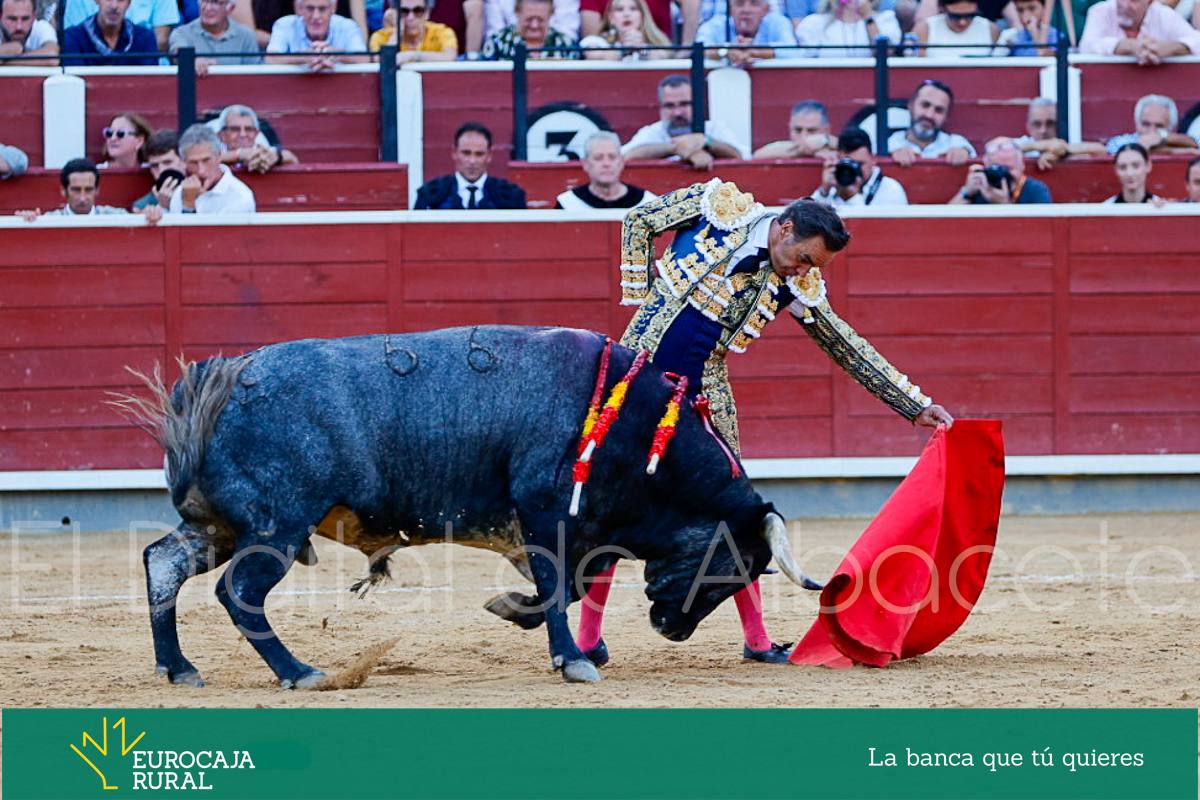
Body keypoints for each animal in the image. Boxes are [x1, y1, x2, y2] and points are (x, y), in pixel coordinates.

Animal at [124, 326, 817, 687]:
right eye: (734, 563)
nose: (673, 629)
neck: (640, 428)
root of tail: (219, 381)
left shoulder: (570, 529)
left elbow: (561, 589)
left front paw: (516, 612)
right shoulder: (547, 511)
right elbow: (558, 586)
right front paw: (573, 662)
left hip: (218, 524)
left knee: (163, 563)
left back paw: (177, 668)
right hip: (277, 525)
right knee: (239, 593)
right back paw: (301, 671)